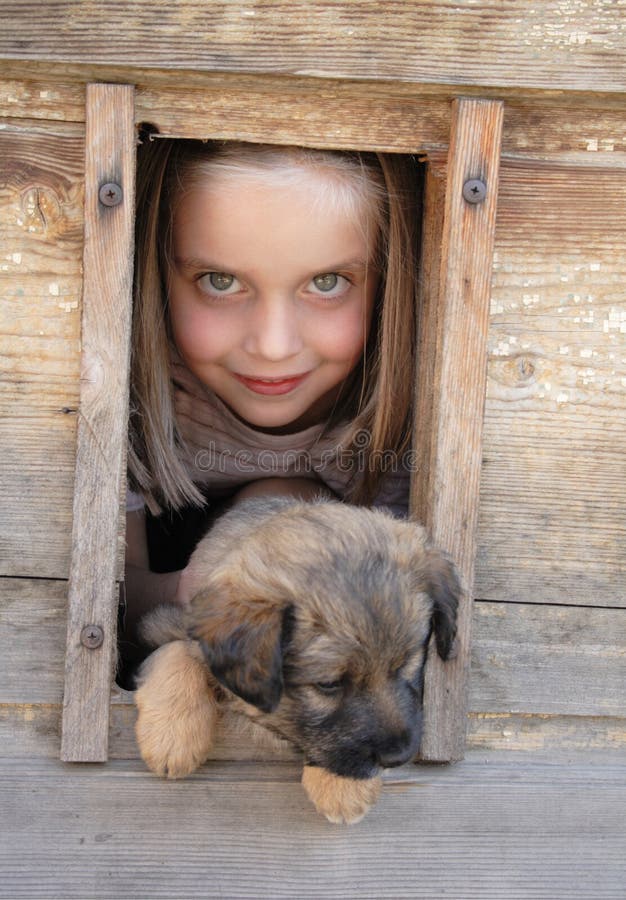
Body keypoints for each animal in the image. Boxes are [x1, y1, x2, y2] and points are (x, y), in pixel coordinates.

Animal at [135, 496, 458, 828]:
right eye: (328, 684)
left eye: (408, 662)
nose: (399, 757)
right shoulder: (164, 623)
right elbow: (179, 650)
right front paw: (172, 738)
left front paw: (343, 786)